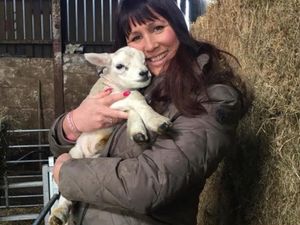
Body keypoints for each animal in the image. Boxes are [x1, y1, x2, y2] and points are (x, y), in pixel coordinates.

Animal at [48, 46, 172, 225]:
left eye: (145, 61)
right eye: (120, 66)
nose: (144, 73)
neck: (116, 85)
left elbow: (133, 107)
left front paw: (137, 131)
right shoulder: (108, 101)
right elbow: (137, 100)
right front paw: (157, 121)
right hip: (75, 154)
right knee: (65, 193)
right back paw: (58, 213)